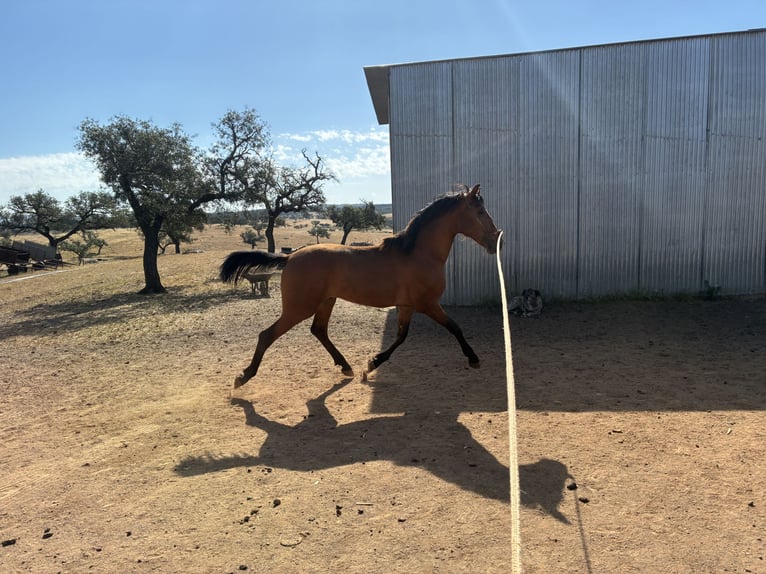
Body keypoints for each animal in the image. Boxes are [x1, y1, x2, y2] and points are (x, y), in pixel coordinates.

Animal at [219, 184, 501, 388]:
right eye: (479, 212)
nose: (495, 240)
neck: (419, 253)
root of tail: (289, 257)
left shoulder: (407, 305)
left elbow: (401, 337)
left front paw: (372, 364)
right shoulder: (428, 304)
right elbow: (454, 327)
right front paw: (474, 359)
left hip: (326, 302)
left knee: (318, 330)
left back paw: (346, 366)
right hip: (299, 308)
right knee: (267, 335)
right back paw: (243, 376)